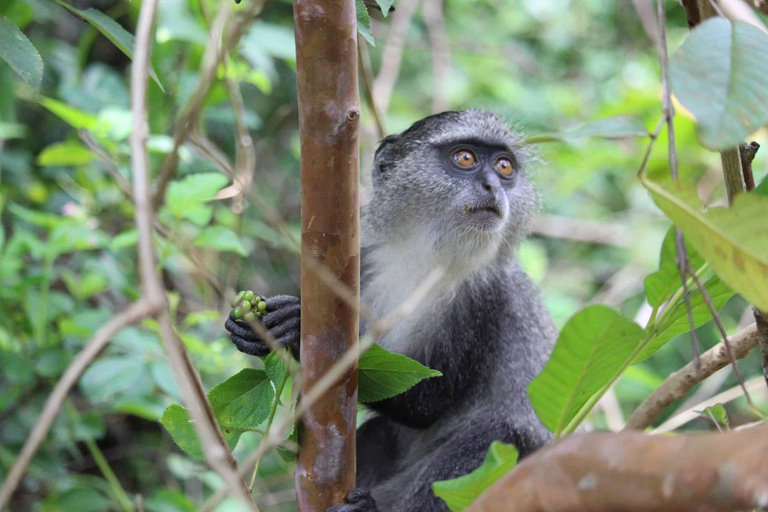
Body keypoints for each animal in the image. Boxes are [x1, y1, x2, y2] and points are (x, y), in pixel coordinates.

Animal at [225, 110, 556, 510]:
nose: (494, 186)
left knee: (495, 438)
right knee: (377, 433)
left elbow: (427, 400)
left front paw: (296, 324)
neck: (427, 257)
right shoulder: (365, 267)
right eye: (466, 158)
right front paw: (253, 332)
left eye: (505, 167)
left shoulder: (485, 296)